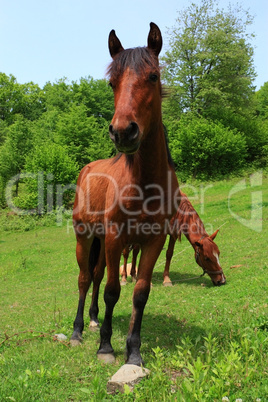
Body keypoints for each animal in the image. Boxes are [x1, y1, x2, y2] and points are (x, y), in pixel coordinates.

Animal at [70, 22, 179, 368]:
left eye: (153, 76)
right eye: (111, 82)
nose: (123, 132)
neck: (144, 185)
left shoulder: (153, 241)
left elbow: (139, 293)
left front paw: (133, 351)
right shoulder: (117, 238)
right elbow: (112, 291)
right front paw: (106, 346)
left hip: (101, 240)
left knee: (94, 276)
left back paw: (93, 320)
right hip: (85, 237)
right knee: (84, 279)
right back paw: (78, 330)